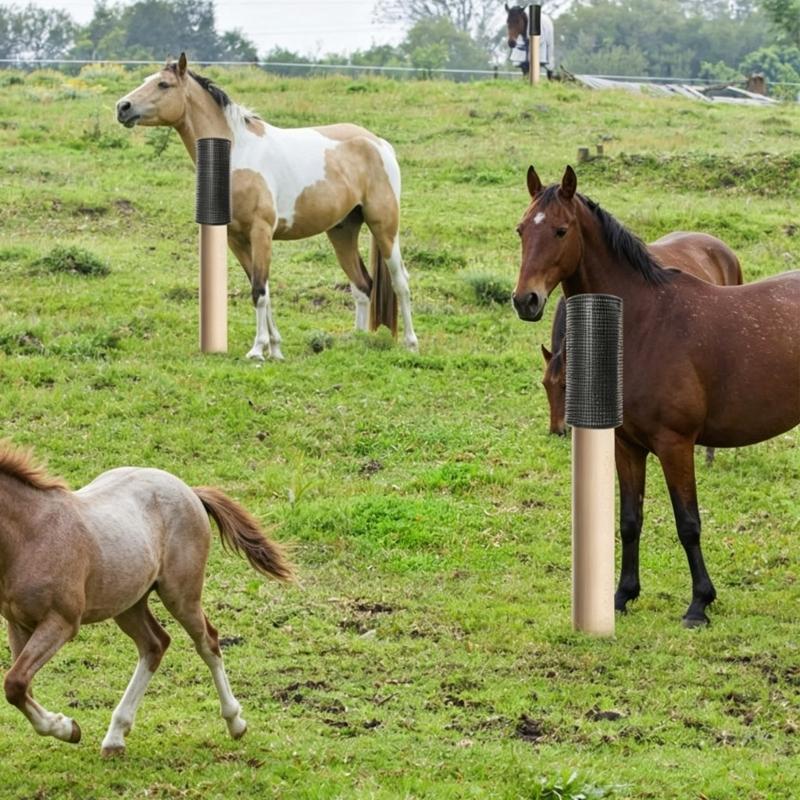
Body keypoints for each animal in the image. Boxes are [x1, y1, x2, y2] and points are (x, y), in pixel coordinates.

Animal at [0, 441, 293, 755]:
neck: (32, 535)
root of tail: (189, 491)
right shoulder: (18, 624)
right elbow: (21, 686)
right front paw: (67, 727)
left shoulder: (61, 622)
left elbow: (15, 683)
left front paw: (69, 729)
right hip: (129, 603)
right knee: (155, 644)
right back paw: (116, 737)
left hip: (181, 596)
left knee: (208, 642)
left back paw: (235, 723)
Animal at [116, 53, 418, 360]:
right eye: (147, 80)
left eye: (163, 84)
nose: (122, 107)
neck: (237, 154)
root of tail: (379, 143)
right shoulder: (235, 239)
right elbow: (262, 289)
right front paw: (275, 349)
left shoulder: (261, 233)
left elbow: (259, 291)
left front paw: (258, 350)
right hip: (342, 232)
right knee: (362, 286)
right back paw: (357, 341)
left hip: (385, 227)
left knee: (400, 281)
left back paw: (411, 343)